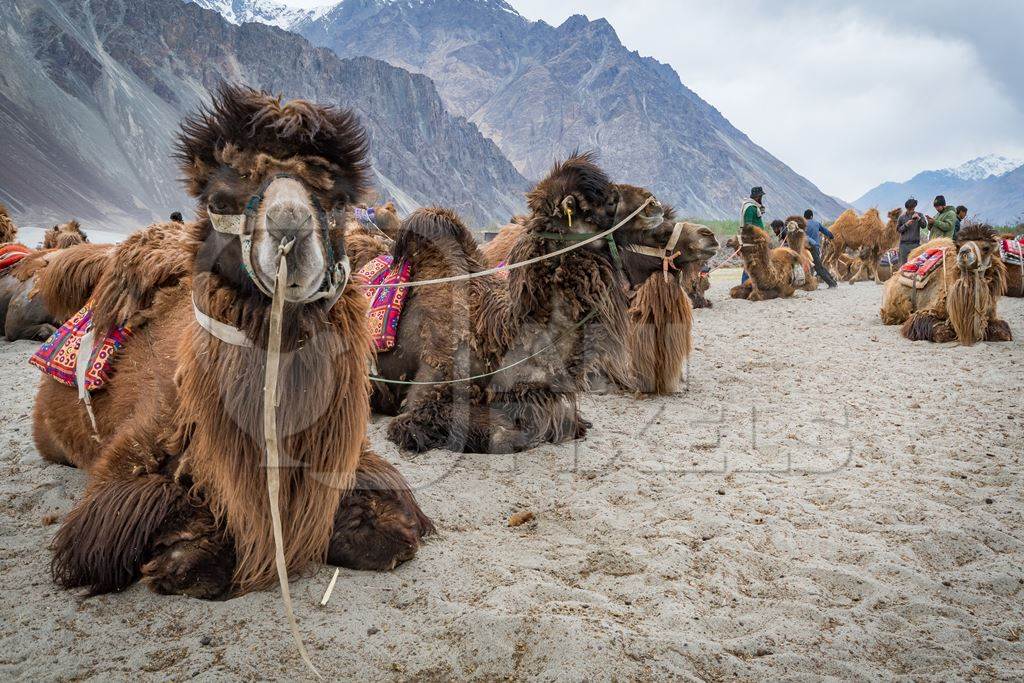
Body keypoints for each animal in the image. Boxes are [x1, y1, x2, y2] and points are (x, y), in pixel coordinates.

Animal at [33, 83, 432, 598]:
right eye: (224, 196)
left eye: (335, 197)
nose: (289, 229)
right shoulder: (127, 467)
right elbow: (122, 527)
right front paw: (186, 555)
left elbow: (393, 524)